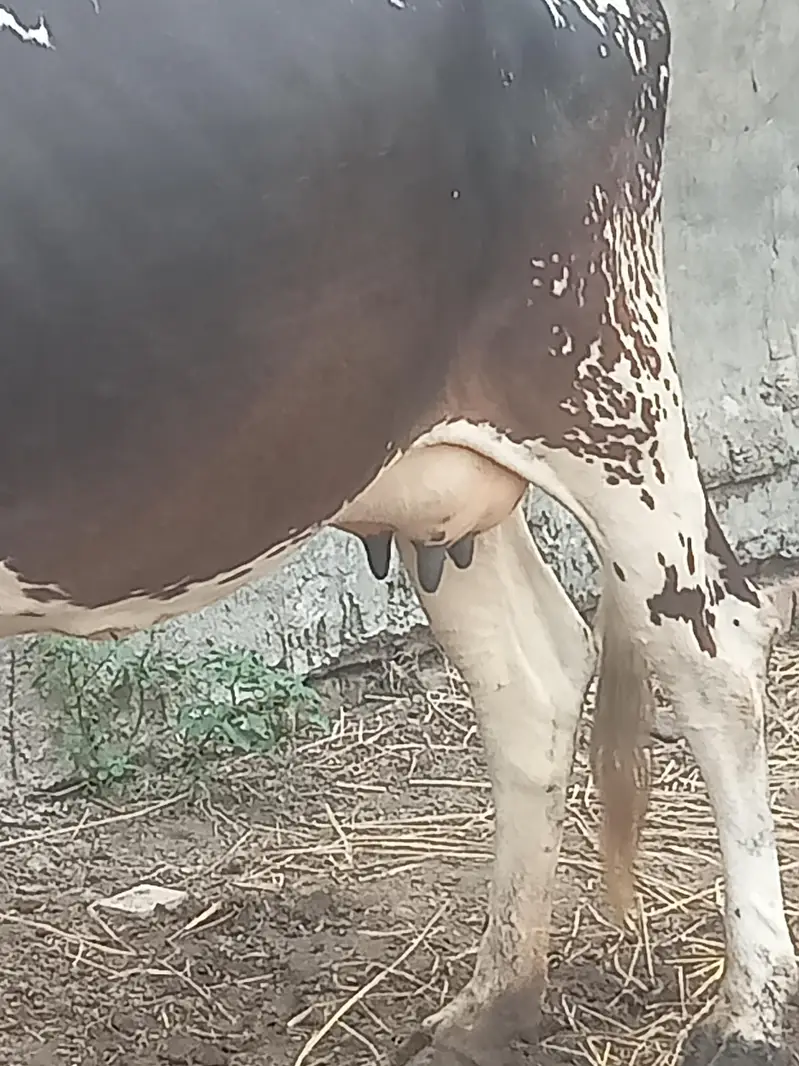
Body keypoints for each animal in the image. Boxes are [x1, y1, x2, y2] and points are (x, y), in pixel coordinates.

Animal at [0, 0, 795, 1063]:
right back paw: (493, 1002)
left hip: (602, 371)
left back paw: (750, 1009)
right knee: (533, 673)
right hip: (432, 446)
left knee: (715, 646)